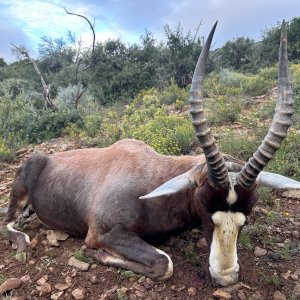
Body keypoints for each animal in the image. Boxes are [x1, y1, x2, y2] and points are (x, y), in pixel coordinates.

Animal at [2, 21, 300, 286]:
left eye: (247, 214)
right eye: (205, 206)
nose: (225, 277)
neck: (154, 179)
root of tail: (42, 158)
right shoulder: (103, 232)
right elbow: (163, 263)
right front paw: (91, 253)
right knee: (6, 222)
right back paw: (24, 242)